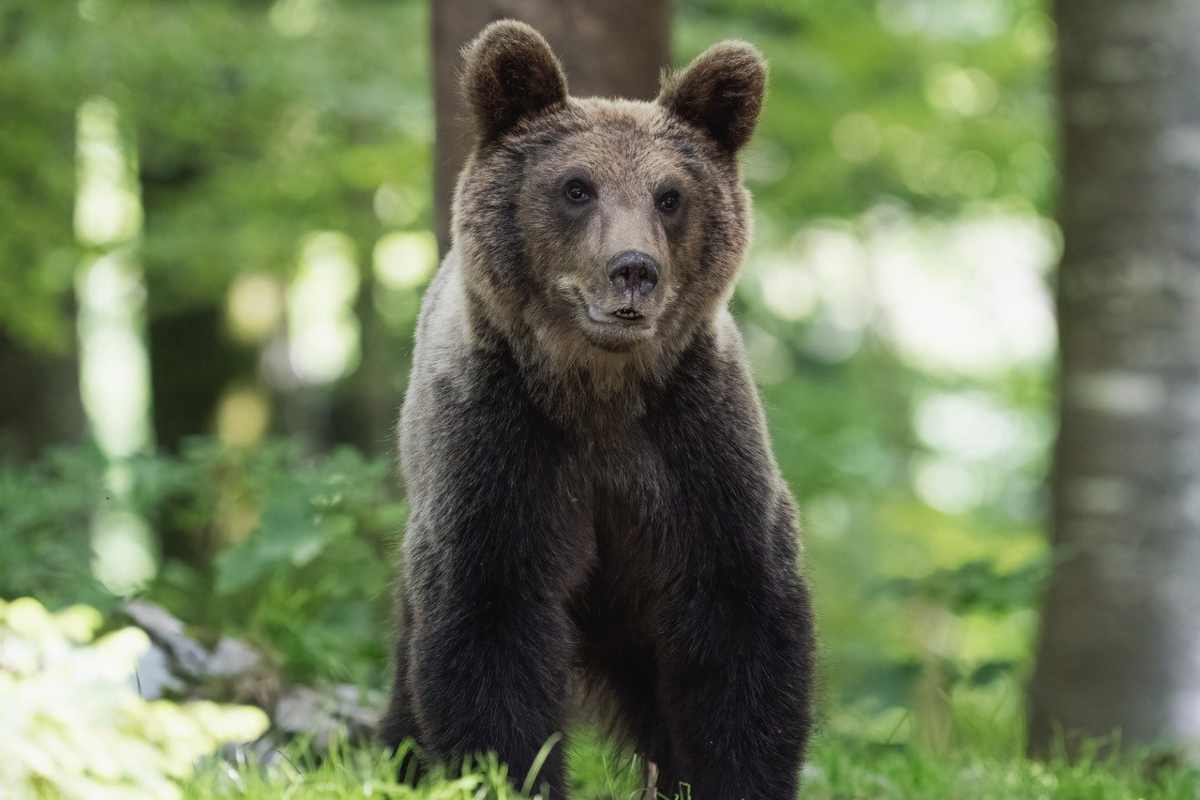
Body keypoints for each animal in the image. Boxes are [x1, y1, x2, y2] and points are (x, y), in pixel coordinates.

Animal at [384, 20, 816, 800]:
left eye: (670, 195)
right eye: (576, 187)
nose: (633, 269)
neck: (600, 393)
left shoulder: (696, 449)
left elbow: (741, 621)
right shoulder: (501, 451)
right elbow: (489, 627)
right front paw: (510, 772)